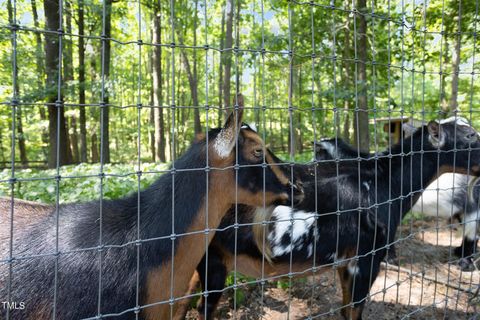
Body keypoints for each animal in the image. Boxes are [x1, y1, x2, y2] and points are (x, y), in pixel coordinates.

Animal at [189, 117, 480, 320]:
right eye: (470, 136)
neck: (383, 181)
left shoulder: (344, 261)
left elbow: (344, 309)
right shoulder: (366, 257)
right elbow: (354, 310)